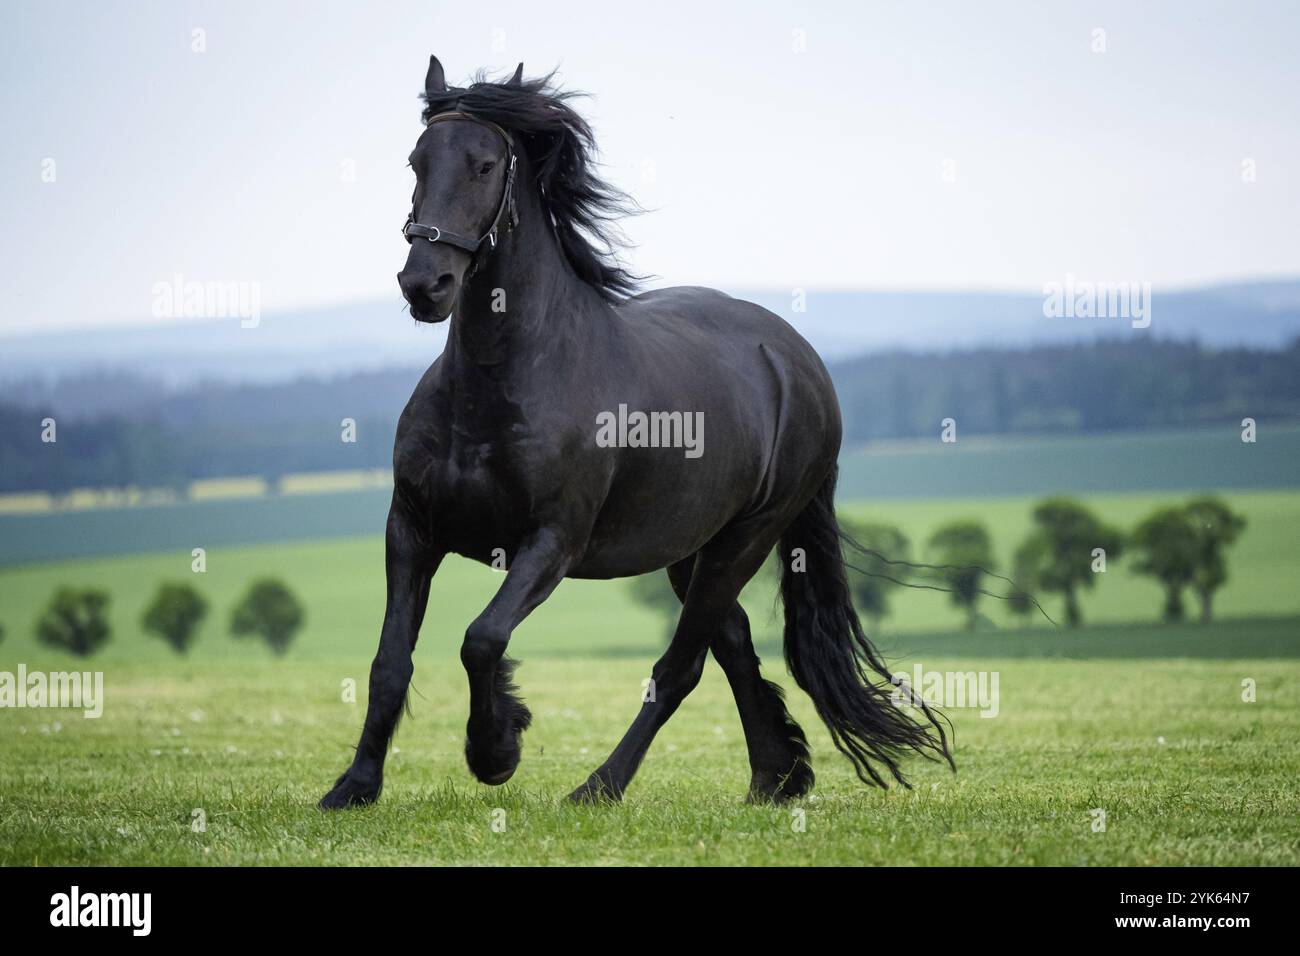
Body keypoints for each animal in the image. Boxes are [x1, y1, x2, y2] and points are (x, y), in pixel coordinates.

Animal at [319, 56, 952, 809]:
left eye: (484, 165)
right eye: (416, 161)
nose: (426, 284)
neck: (499, 388)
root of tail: (796, 358)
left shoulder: (552, 542)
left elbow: (482, 638)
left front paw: (496, 748)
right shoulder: (412, 530)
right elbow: (390, 661)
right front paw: (353, 787)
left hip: (746, 538)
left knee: (681, 667)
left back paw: (601, 786)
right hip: (689, 548)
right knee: (732, 643)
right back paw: (776, 777)